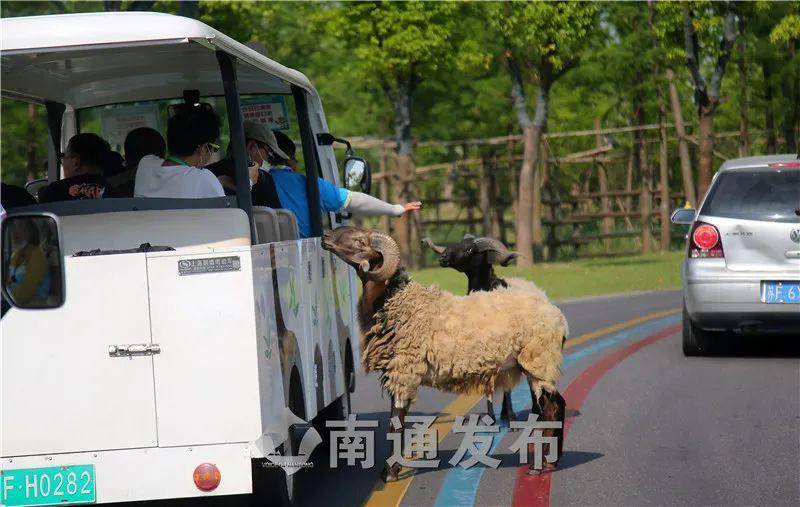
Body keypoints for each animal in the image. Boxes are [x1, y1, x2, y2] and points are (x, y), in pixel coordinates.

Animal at [320, 228, 568, 482]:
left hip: (539, 360)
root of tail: (557, 316)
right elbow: (397, 418)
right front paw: (392, 468)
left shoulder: (404, 370)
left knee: (552, 406)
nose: (325, 236)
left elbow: (396, 421)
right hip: (535, 364)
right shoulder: (398, 372)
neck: (394, 301)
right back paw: (549, 461)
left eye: (360, 241)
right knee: (553, 405)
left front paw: (389, 472)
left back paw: (540, 465)